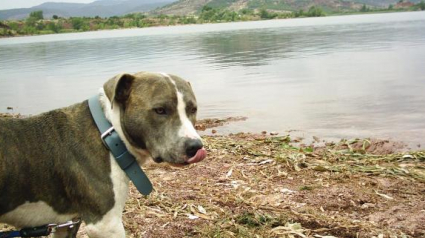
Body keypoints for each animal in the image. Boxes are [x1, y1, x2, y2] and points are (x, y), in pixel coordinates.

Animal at [0, 71, 207, 237]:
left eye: (193, 109)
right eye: (160, 110)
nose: (195, 146)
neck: (109, 133)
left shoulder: (66, 225)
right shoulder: (106, 225)